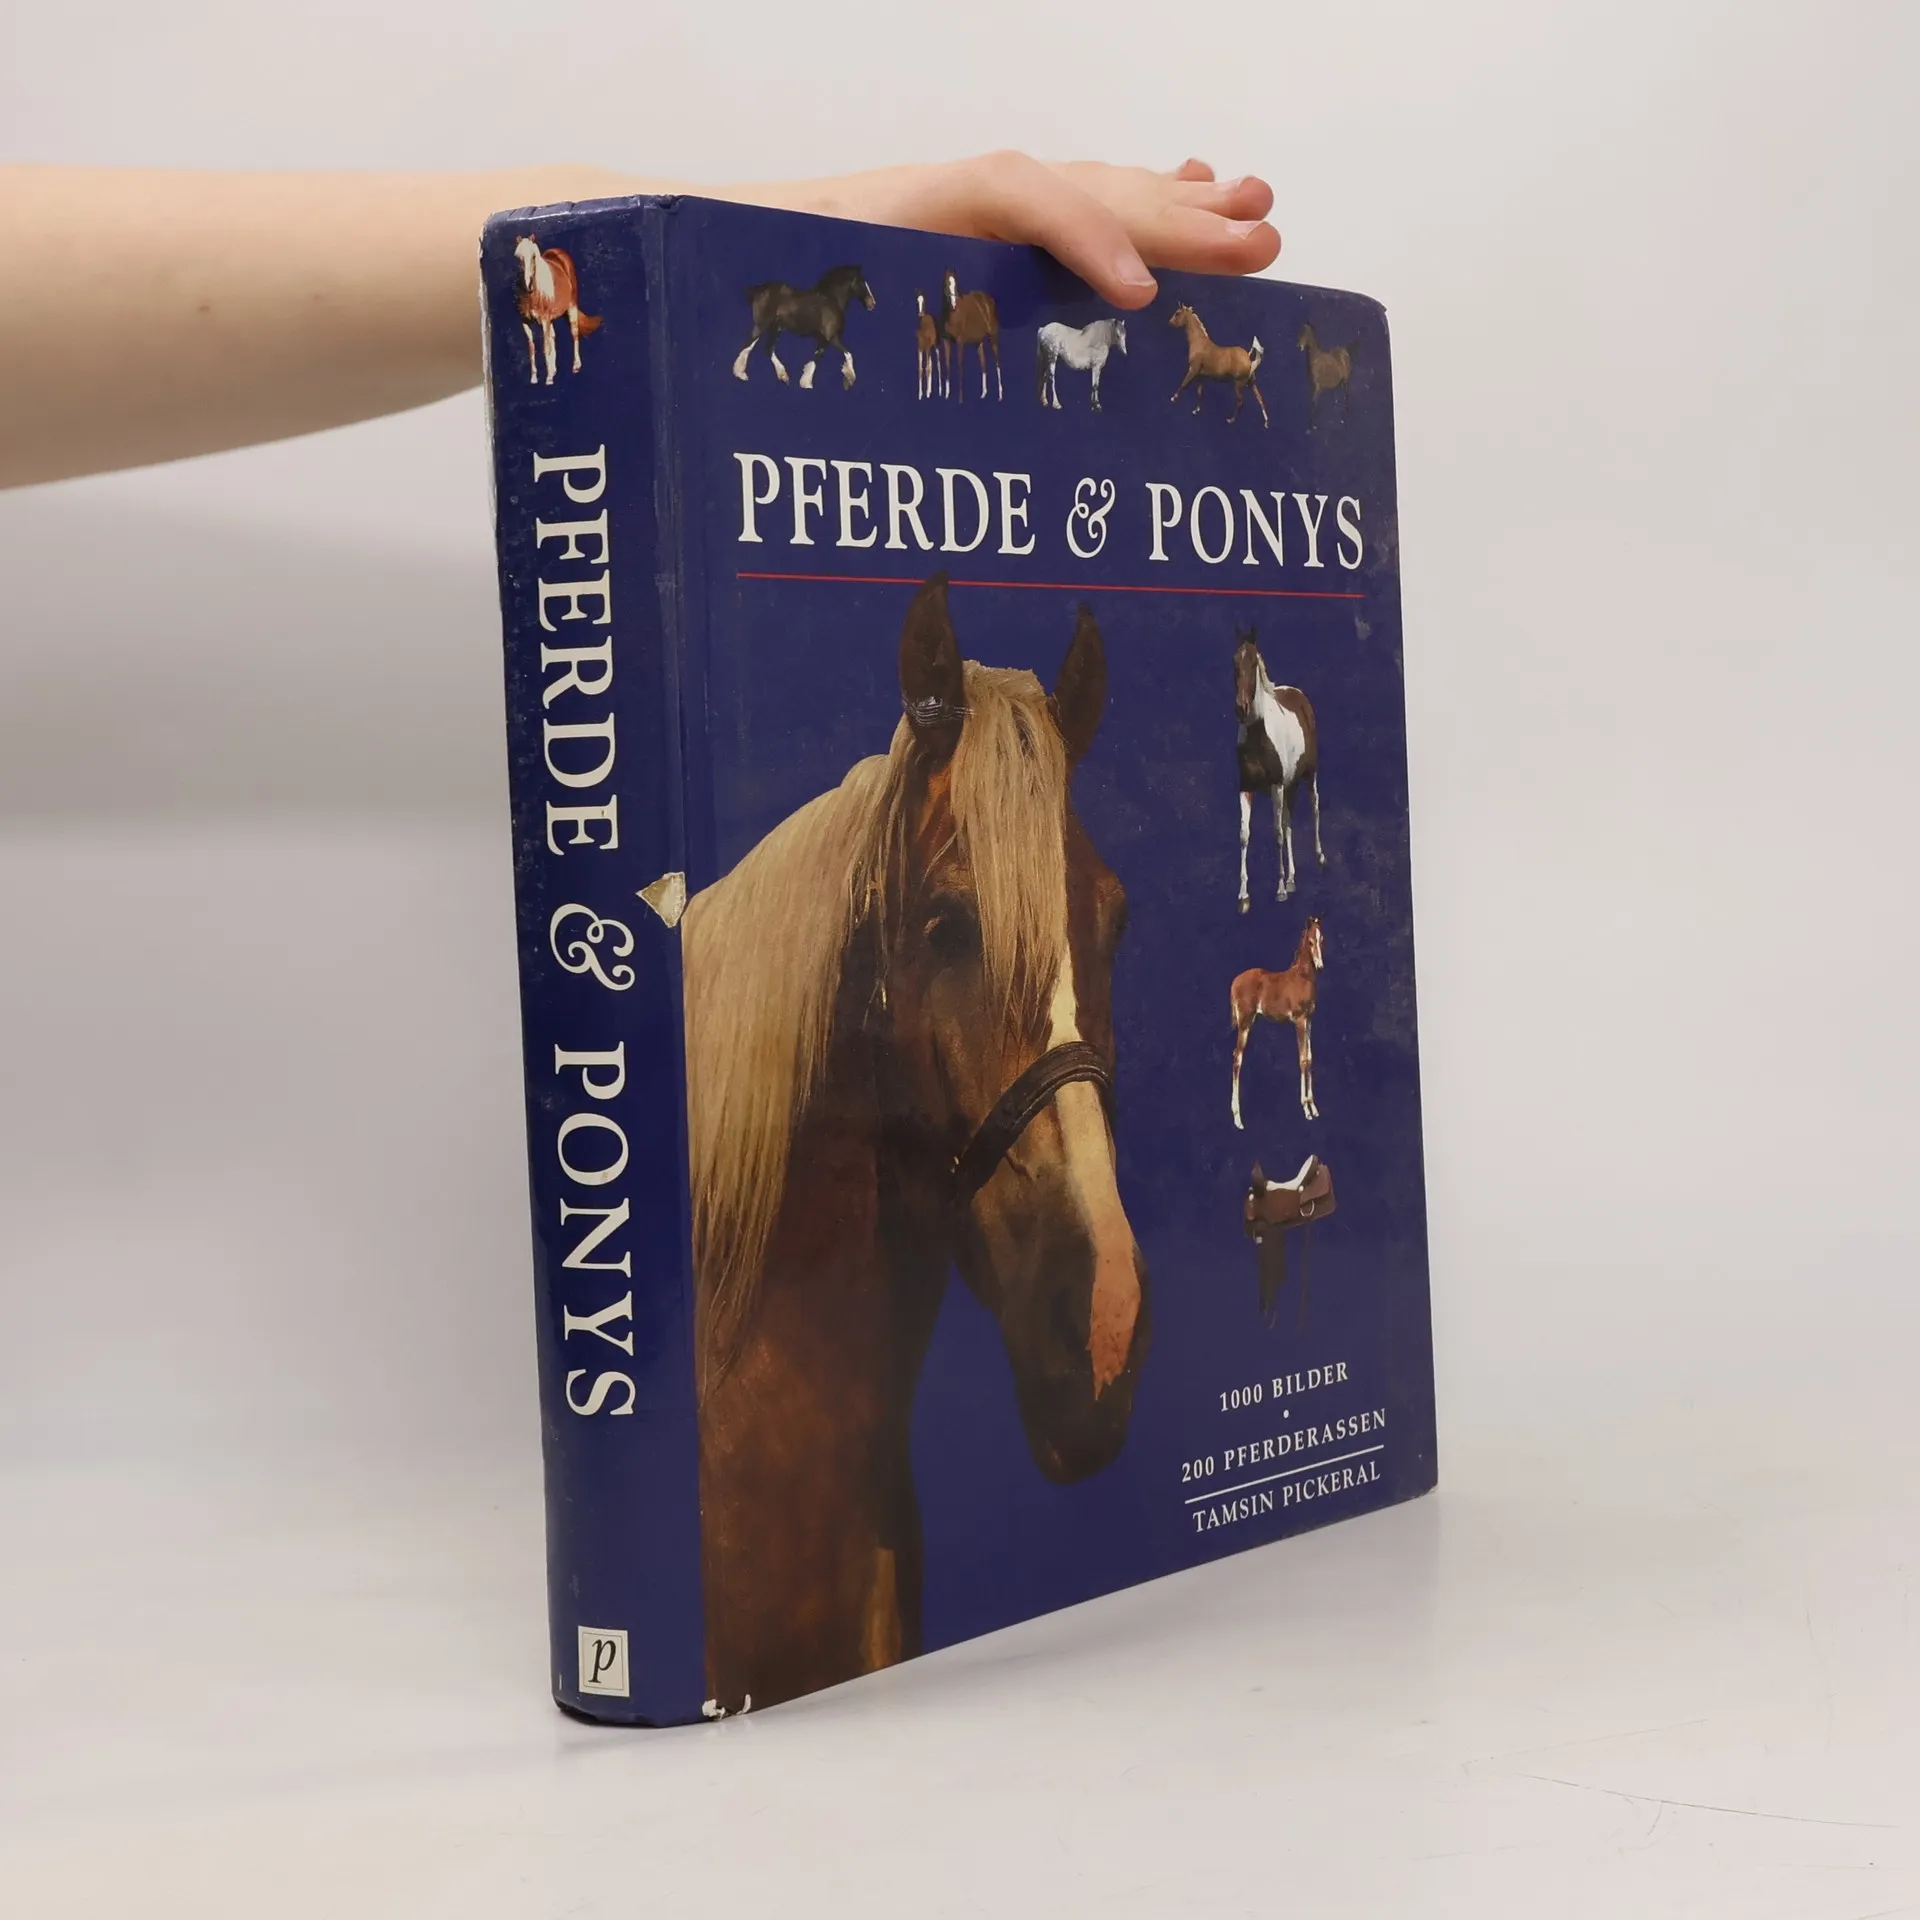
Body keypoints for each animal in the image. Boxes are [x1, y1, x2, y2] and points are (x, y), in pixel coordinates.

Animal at [512, 236, 601, 385]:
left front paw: (548, 379)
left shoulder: (544, 320)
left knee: (574, 333)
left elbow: (545, 346)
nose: (528, 285)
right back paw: (553, 370)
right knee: (553, 337)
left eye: (534, 256)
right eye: (518, 256)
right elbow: (532, 348)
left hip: (571, 307)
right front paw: (534, 378)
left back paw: (576, 366)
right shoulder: (526, 323)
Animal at [731, 266, 876, 389]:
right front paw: (849, 378)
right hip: (763, 326)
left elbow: (816, 357)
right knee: (748, 345)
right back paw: (741, 374)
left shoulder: (823, 340)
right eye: (862, 282)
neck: (832, 300)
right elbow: (847, 354)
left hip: (775, 329)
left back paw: (783, 376)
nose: (872, 303)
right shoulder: (831, 337)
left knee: (767, 349)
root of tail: (760, 289)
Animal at [940, 271, 1003, 402]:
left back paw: (1000, 395)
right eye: (946, 284)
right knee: (983, 363)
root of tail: (988, 300)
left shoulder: (960, 342)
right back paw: (983, 393)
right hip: (979, 341)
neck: (952, 315)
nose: (953, 305)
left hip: (993, 337)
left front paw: (960, 398)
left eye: (955, 285)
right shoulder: (946, 341)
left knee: (997, 362)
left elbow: (960, 366)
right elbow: (947, 365)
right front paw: (947, 395)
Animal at [1229, 917, 1325, 1130]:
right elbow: (1303, 1059)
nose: (1320, 966)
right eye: (1310, 942)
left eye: (1321, 939)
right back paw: (1237, 1118)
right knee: (1237, 1057)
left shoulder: (1309, 1020)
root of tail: (1234, 983)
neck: (1302, 978)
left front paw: (1314, 1107)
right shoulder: (1299, 1020)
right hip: (1245, 1021)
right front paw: (1306, 1108)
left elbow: (1310, 1058)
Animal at [1233, 628, 1323, 910]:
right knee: (1289, 821)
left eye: (1253, 663)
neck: (1258, 736)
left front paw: (1280, 889)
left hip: (1308, 775)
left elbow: (1277, 834)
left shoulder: (1276, 786)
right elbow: (1244, 834)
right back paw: (1293, 878)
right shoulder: (1246, 788)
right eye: (1234, 662)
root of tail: (1298, 693)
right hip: (1290, 785)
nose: (1241, 708)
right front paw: (1244, 896)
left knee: (1314, 806)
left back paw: (1320, 857)